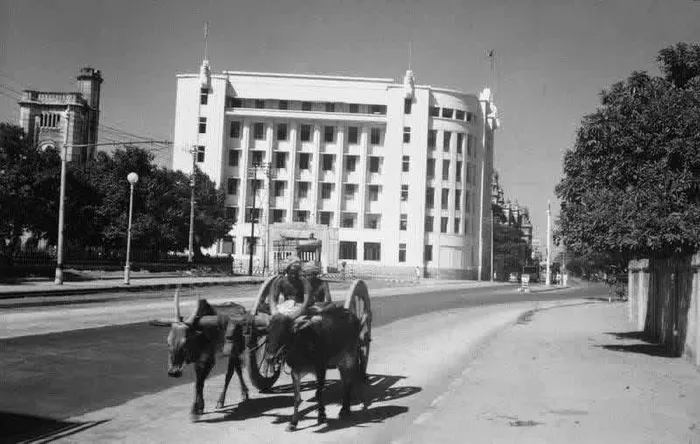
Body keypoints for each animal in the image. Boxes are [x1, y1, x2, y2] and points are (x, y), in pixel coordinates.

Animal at [156, 289, 251, 420]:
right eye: (168, 342)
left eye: (185, 342)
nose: (173, 372)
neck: (199, 336)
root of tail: (242, 309)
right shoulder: (198, 362)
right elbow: (198, 383)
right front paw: (200, 407)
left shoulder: (209, 360)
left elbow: (200, 383)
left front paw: (195, 409)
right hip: (233, 352)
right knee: (237, 370)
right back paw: (241, 394)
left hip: (235, 351)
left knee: (230, 374)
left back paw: (224, 399)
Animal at [264, 293, 369, 432]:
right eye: (269, 330)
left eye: (287, 330)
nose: (270, 358)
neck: (303, 343)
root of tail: (350, 314)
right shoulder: (295, 372)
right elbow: (297, 398)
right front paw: (293, 423)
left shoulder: (321, 368)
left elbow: (318, 393)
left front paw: (321, 416)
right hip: (340, 362)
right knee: (344, 381)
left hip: (349, 357)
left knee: (348, 382)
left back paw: (345, 410)